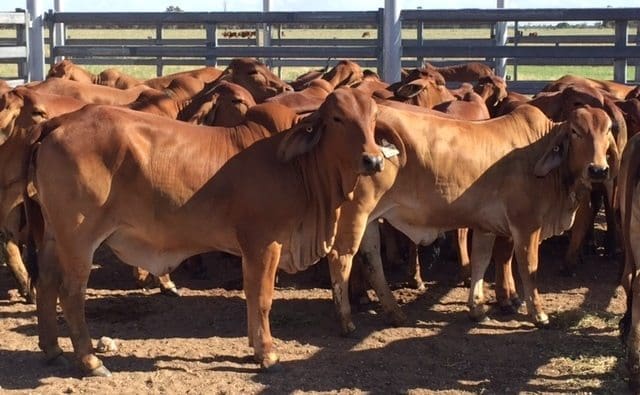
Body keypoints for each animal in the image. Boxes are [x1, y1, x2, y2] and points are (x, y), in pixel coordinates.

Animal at [30, 89, 400, 378]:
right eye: (337, 118)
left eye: (373, 118)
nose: (373, 160)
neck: (298, 167)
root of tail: (60, 122)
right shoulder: (264, 243)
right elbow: (261, 297)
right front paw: (267, 354)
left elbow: (252, 295)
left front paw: (255, 345)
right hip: (79, 237)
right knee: (71, 293)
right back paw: (90, 361)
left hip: (54, 235)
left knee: (46, 284)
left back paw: (53, 350)